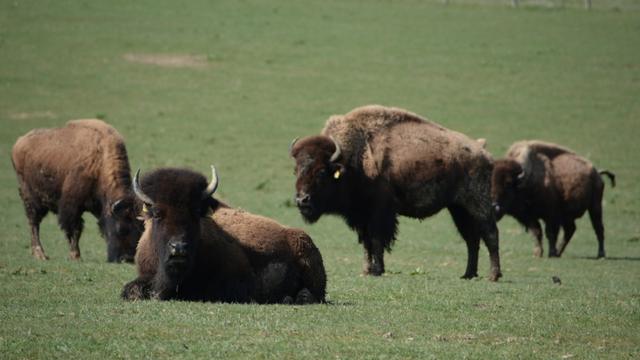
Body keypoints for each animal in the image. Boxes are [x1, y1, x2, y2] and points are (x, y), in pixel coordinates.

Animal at [10, 119, 142, 262]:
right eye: (120, 229)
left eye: (141, 229)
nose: (128, 257)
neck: (100, 160)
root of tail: (19, 143)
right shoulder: (71, 206)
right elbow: (75, 229)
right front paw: (75, 256)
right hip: (31, 198)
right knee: (34, 223)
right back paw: (40, 254)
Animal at [288, 105, 502, 282]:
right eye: (296, 170)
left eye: (321, 172)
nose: (302, 200)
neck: (353, 159)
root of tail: (483, 152)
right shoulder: (361, 216)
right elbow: (366, 242)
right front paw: (366, 270)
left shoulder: (379, 212)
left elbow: (376, 240)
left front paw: (377, 270)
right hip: (458, 208)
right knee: (471, 239)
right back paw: (468, 274)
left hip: (478, 204)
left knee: (490, 234)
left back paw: (493, 276)